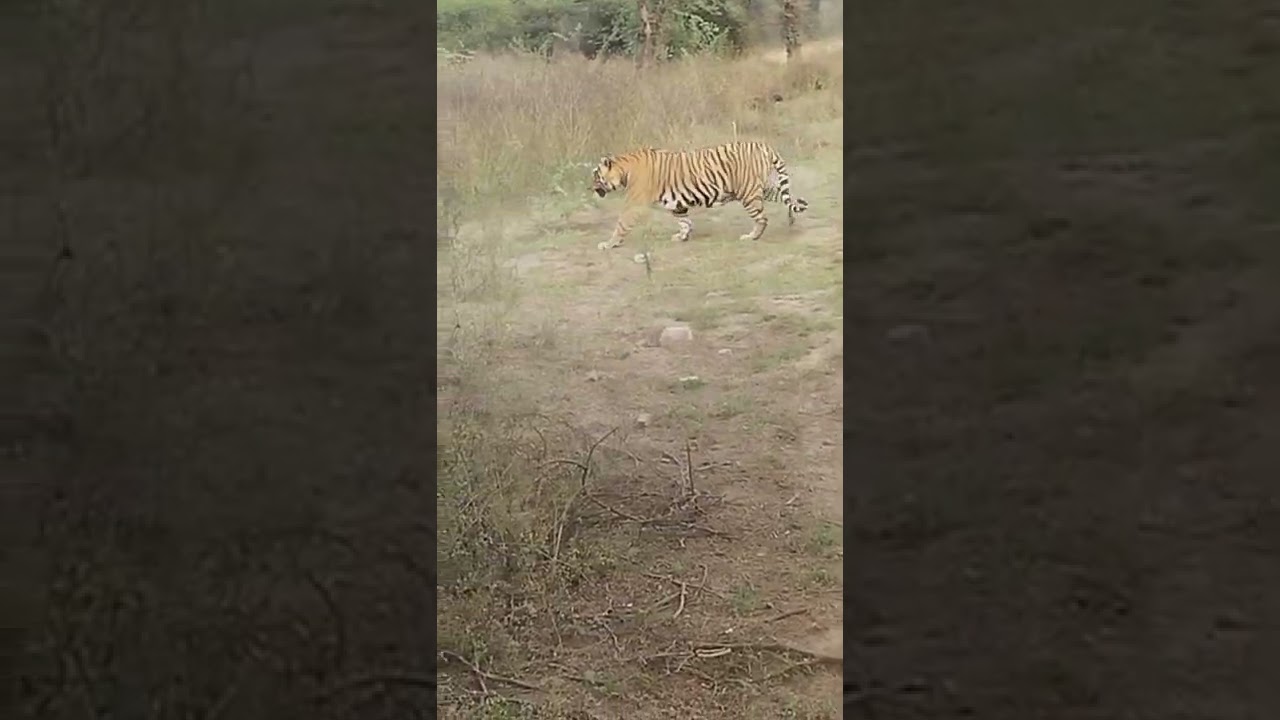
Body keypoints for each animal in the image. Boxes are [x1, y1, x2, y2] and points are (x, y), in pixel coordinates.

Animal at [589, 140, 810, 251]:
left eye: (596, 175)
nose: (590, 187)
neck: (624, 170)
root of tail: (764, 146)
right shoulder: (676, 203)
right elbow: (684, 221)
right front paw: (682, 236)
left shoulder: (634, 203)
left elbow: (621, 224)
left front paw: (609, 244)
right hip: (764, 187)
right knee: (787, 198)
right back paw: (793, 218)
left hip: (748, 193)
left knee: (762, 218)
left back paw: (751, 236)